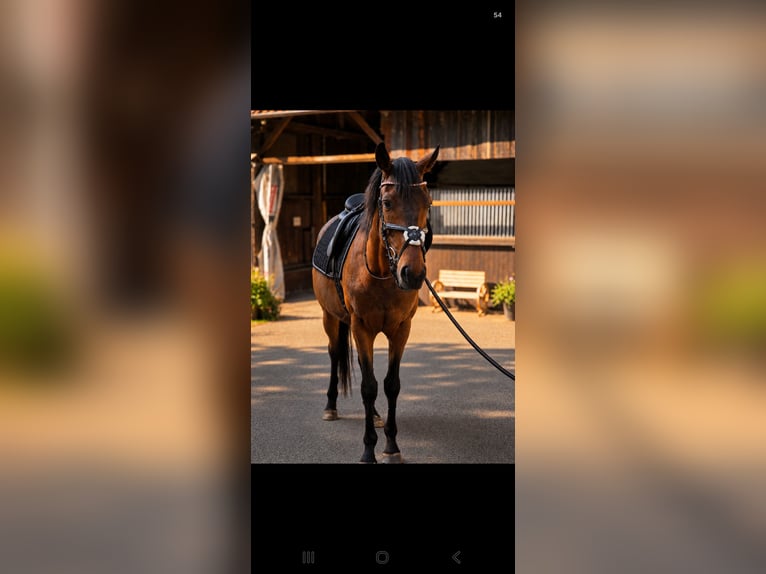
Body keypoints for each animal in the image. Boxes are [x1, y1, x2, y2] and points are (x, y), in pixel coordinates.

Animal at [312, 142, 440, 463]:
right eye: (387, 202)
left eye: (428, 202)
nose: (413, 273)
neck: (382, 273)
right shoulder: (361, 328)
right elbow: (368, 386)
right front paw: (369, 449)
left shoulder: (401, 329)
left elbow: (390, 385)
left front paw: (391, 445)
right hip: (330, 317)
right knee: (334, 354)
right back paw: (330, 406)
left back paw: (378, 416)